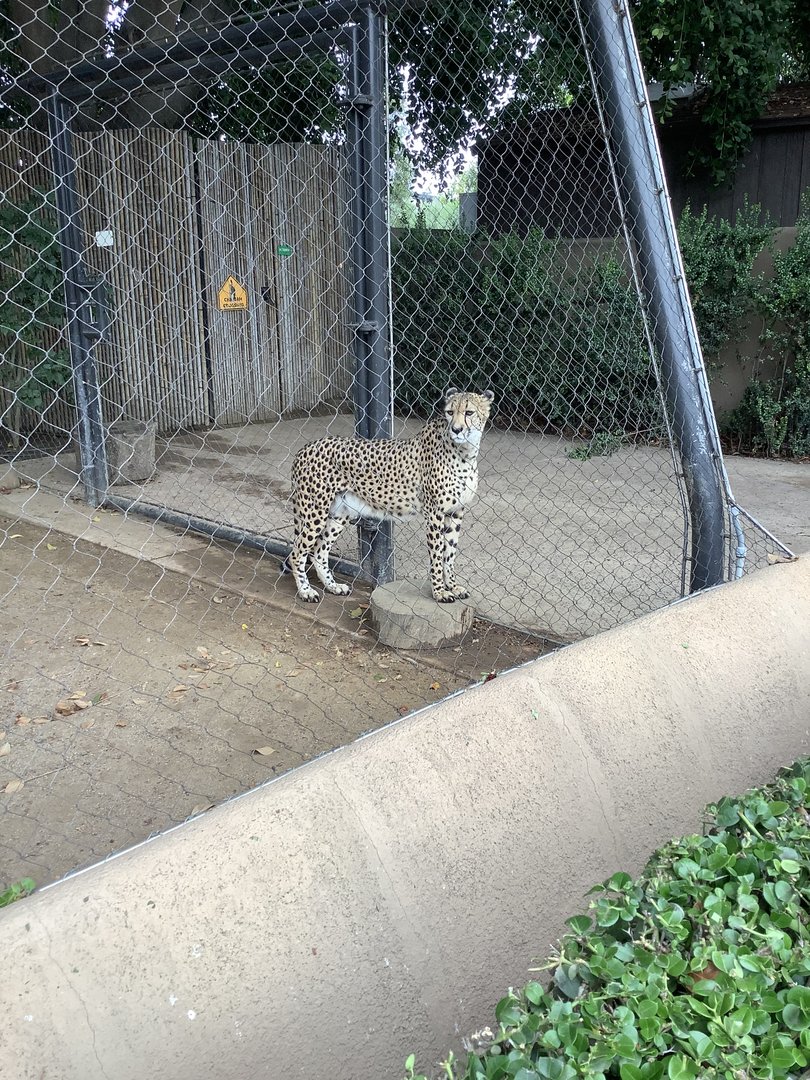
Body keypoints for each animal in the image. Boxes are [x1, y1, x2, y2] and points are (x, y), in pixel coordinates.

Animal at [282, 387, 495, 604]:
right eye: (450, 412)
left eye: (469, 413)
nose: (456, 429)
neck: (465, 452)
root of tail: (306, 447)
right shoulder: (434, 513)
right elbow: (437, 554)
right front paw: (439, 592)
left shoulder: (456, 511)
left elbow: (450, 553)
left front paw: (453, 586)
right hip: (315, 513)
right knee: (298, 552)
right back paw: (306, 591)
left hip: (340, 513)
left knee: (319, 552)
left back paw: (333, 587)